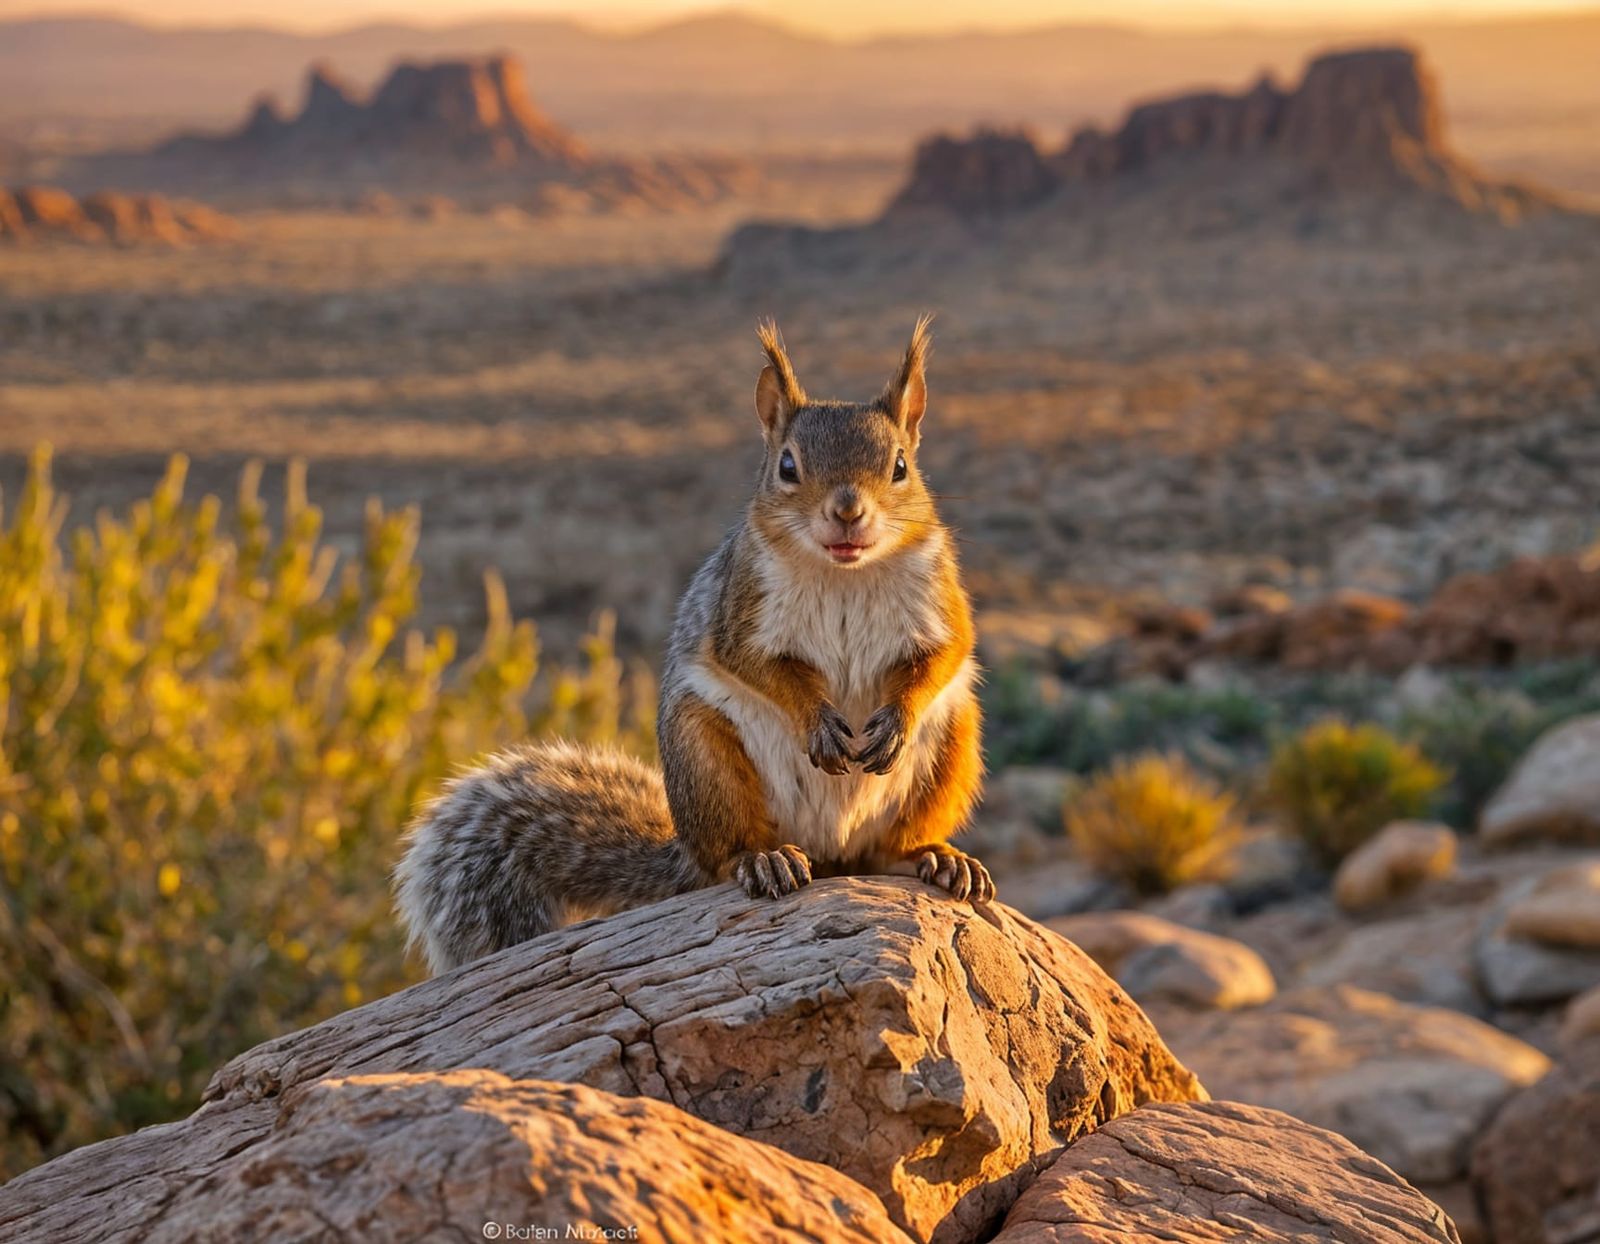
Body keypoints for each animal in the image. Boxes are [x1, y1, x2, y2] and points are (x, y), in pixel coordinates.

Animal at [394, 317, 990, 974]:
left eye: (901, 466)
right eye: (787, 466)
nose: (847, 513)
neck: (845, 572)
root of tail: (829, 852)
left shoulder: (941, 596)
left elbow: (946, 653)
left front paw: (896, 721)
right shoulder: (739, 605)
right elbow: (754, 664)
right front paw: (817, 721)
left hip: (951, 748)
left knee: (890, 847)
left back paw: (935, 858)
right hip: (705, 757)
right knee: (730, 850)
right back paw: (763, 861)